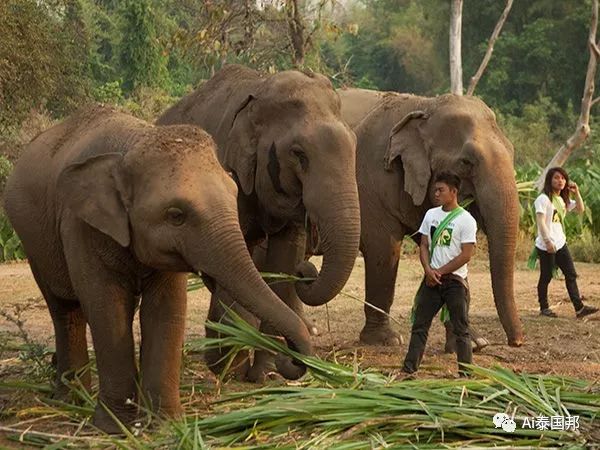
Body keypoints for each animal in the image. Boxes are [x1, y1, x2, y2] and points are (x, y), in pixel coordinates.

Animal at [3, 105, 314, 432]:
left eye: (234, 195)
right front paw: (115, 427)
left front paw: (164, 424)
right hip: (34, 242)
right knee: (65, 309)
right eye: (176, 215)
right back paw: (70, 400)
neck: (132, 143)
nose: (289, 362)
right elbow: (107, 308)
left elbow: (167, 308)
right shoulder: (80, 225)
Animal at [156, 64, 360, 380]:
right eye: (299, 154)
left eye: (355, 145)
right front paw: (232, 367)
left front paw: (267, 373)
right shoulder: (226, 172)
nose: (307, 272)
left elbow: (283, 261)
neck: (260, 91)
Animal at [328, 89, 524, 348]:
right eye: (467, 161)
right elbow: (383, 248)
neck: (425, 105)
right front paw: (387, 340)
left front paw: (472, 343)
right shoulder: (370, 176)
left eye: (512, 152)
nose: (517, 341)